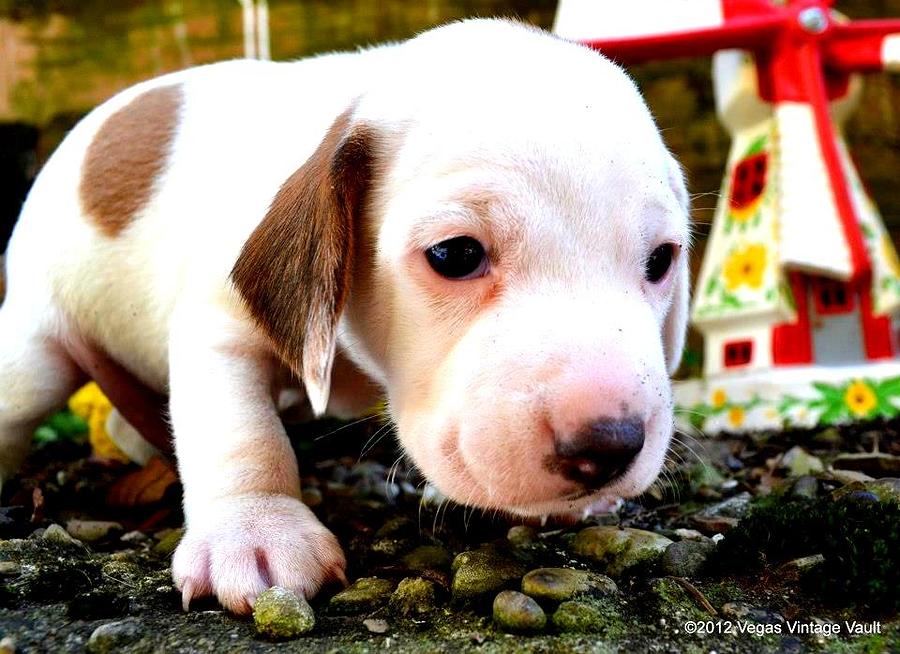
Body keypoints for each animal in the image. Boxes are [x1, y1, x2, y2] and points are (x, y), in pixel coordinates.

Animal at [0, 19, 688, 616]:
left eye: (661, 260)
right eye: (456, 254)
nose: (609, 446)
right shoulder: (219, 329)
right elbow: (241, 432)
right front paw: (256, 529)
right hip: (37, 352)